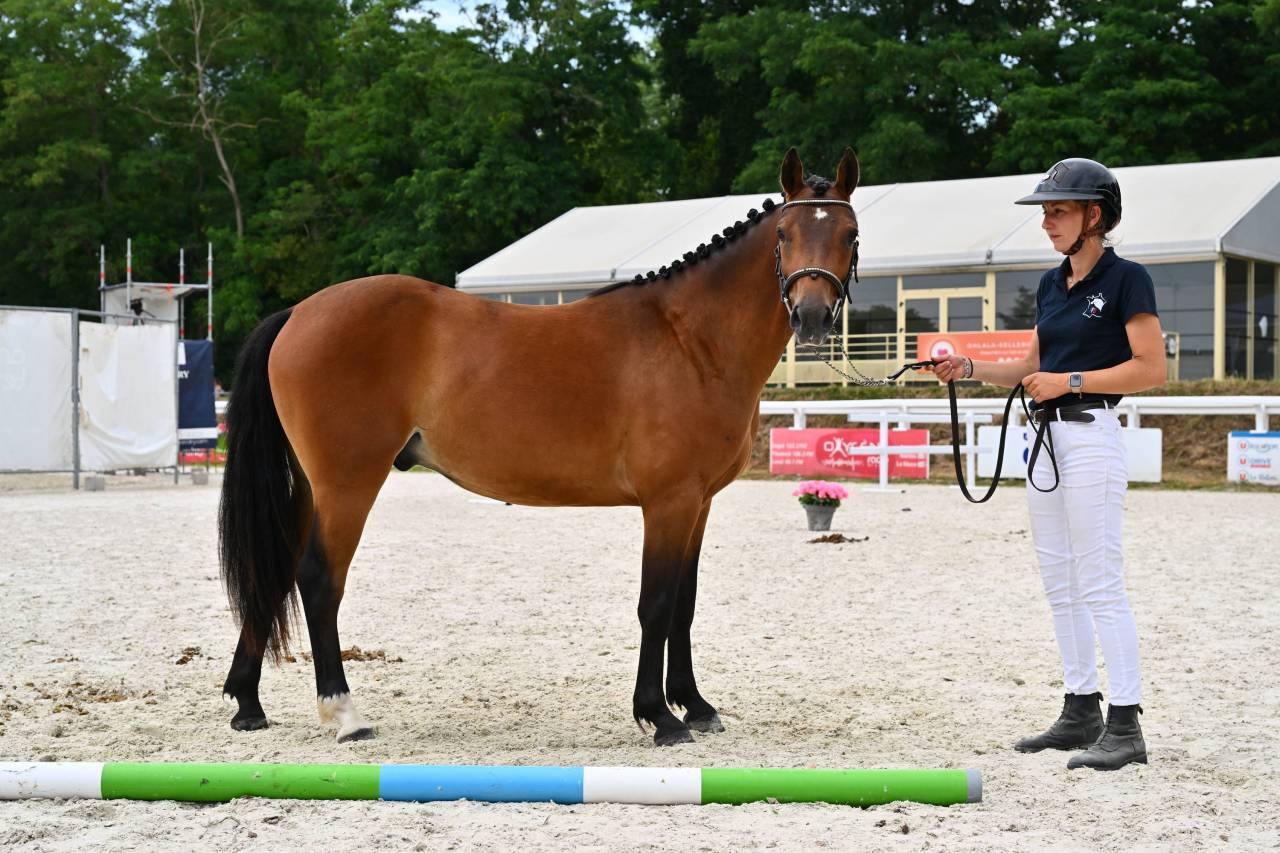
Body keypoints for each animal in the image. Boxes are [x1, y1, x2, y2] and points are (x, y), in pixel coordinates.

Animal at [218, 147, 862, 746]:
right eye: (784, 235)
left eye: (849, 235)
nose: (810, 317)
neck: (691, 340)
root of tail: (299, 312)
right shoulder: (668, 502)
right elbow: (655, 603)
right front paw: (658, 715)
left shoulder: (699, 503)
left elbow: (685, 601)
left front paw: (695, 706)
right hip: (348, 483)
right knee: (319, 579)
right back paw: (345, 714)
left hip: (313, 486)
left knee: (277, 572)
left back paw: (248, 703)